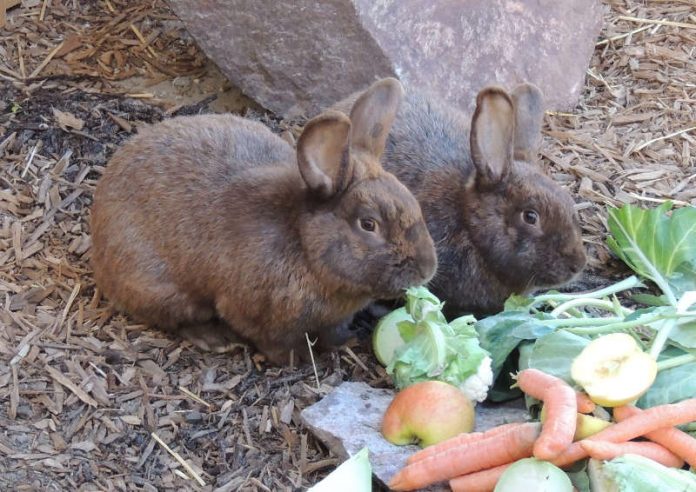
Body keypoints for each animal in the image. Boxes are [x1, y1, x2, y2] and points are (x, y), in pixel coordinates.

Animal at [88, 78, 436, 366]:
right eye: (368, 224)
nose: (427, 269)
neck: (305, 247)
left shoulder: (332, 319)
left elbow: (332, 333)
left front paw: (343, 344)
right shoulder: (257, 317)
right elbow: (276, 344)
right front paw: (299, 361)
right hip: (161, 287)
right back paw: (216, 339)